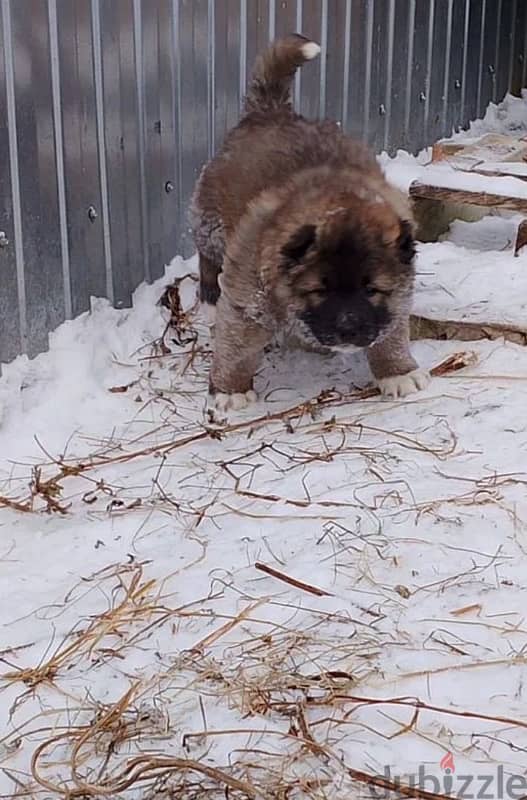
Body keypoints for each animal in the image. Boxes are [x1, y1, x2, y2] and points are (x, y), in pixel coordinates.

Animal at [192, 34, 432, 410]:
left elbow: (390, 332)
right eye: (319, 290)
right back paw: (209, 302)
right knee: (207, 258)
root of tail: (269, 110)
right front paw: (230, 392)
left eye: (372, 290)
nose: (348, 330)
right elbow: (237, 348)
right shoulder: (248, 300)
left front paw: (398, 371)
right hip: (211, 222)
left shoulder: (396, 297)